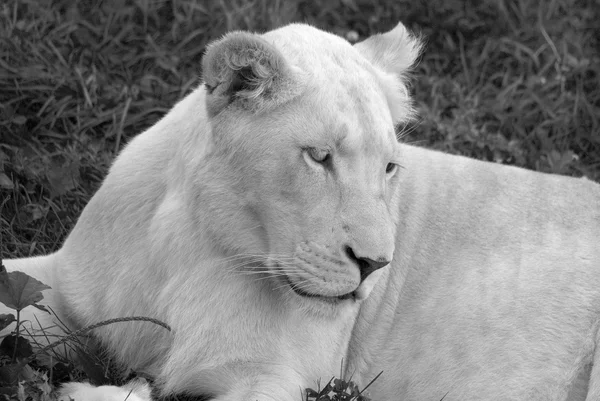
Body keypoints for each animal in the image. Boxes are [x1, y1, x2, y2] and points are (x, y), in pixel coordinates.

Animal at [3, 21, 600, 400]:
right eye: (319, 156)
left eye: (389, 167)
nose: (376, 266)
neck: (195, 245)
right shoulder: (63, 287)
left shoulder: (276, 377)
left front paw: (95, 391)